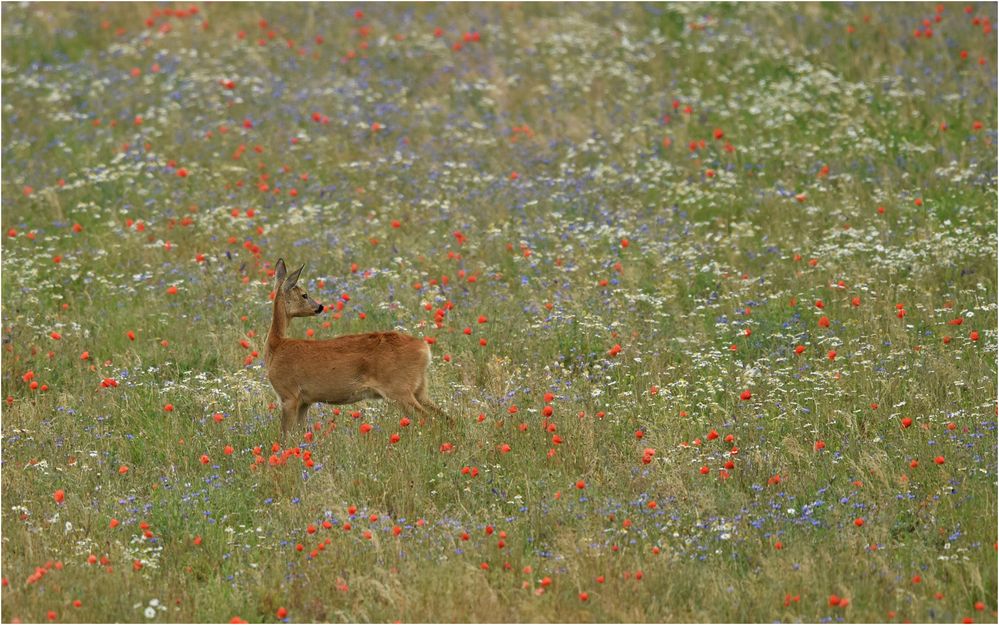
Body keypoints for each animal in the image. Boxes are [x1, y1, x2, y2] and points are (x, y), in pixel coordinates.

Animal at [266, 258, 446, 438]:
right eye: (304, 295)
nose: (320, 307)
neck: (276, 347)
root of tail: (424, 349)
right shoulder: (305, 401)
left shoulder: (288, 394)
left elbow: (285, 436)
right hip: (419, 389)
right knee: (445, 417)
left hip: (399, 388)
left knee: (430, 419)